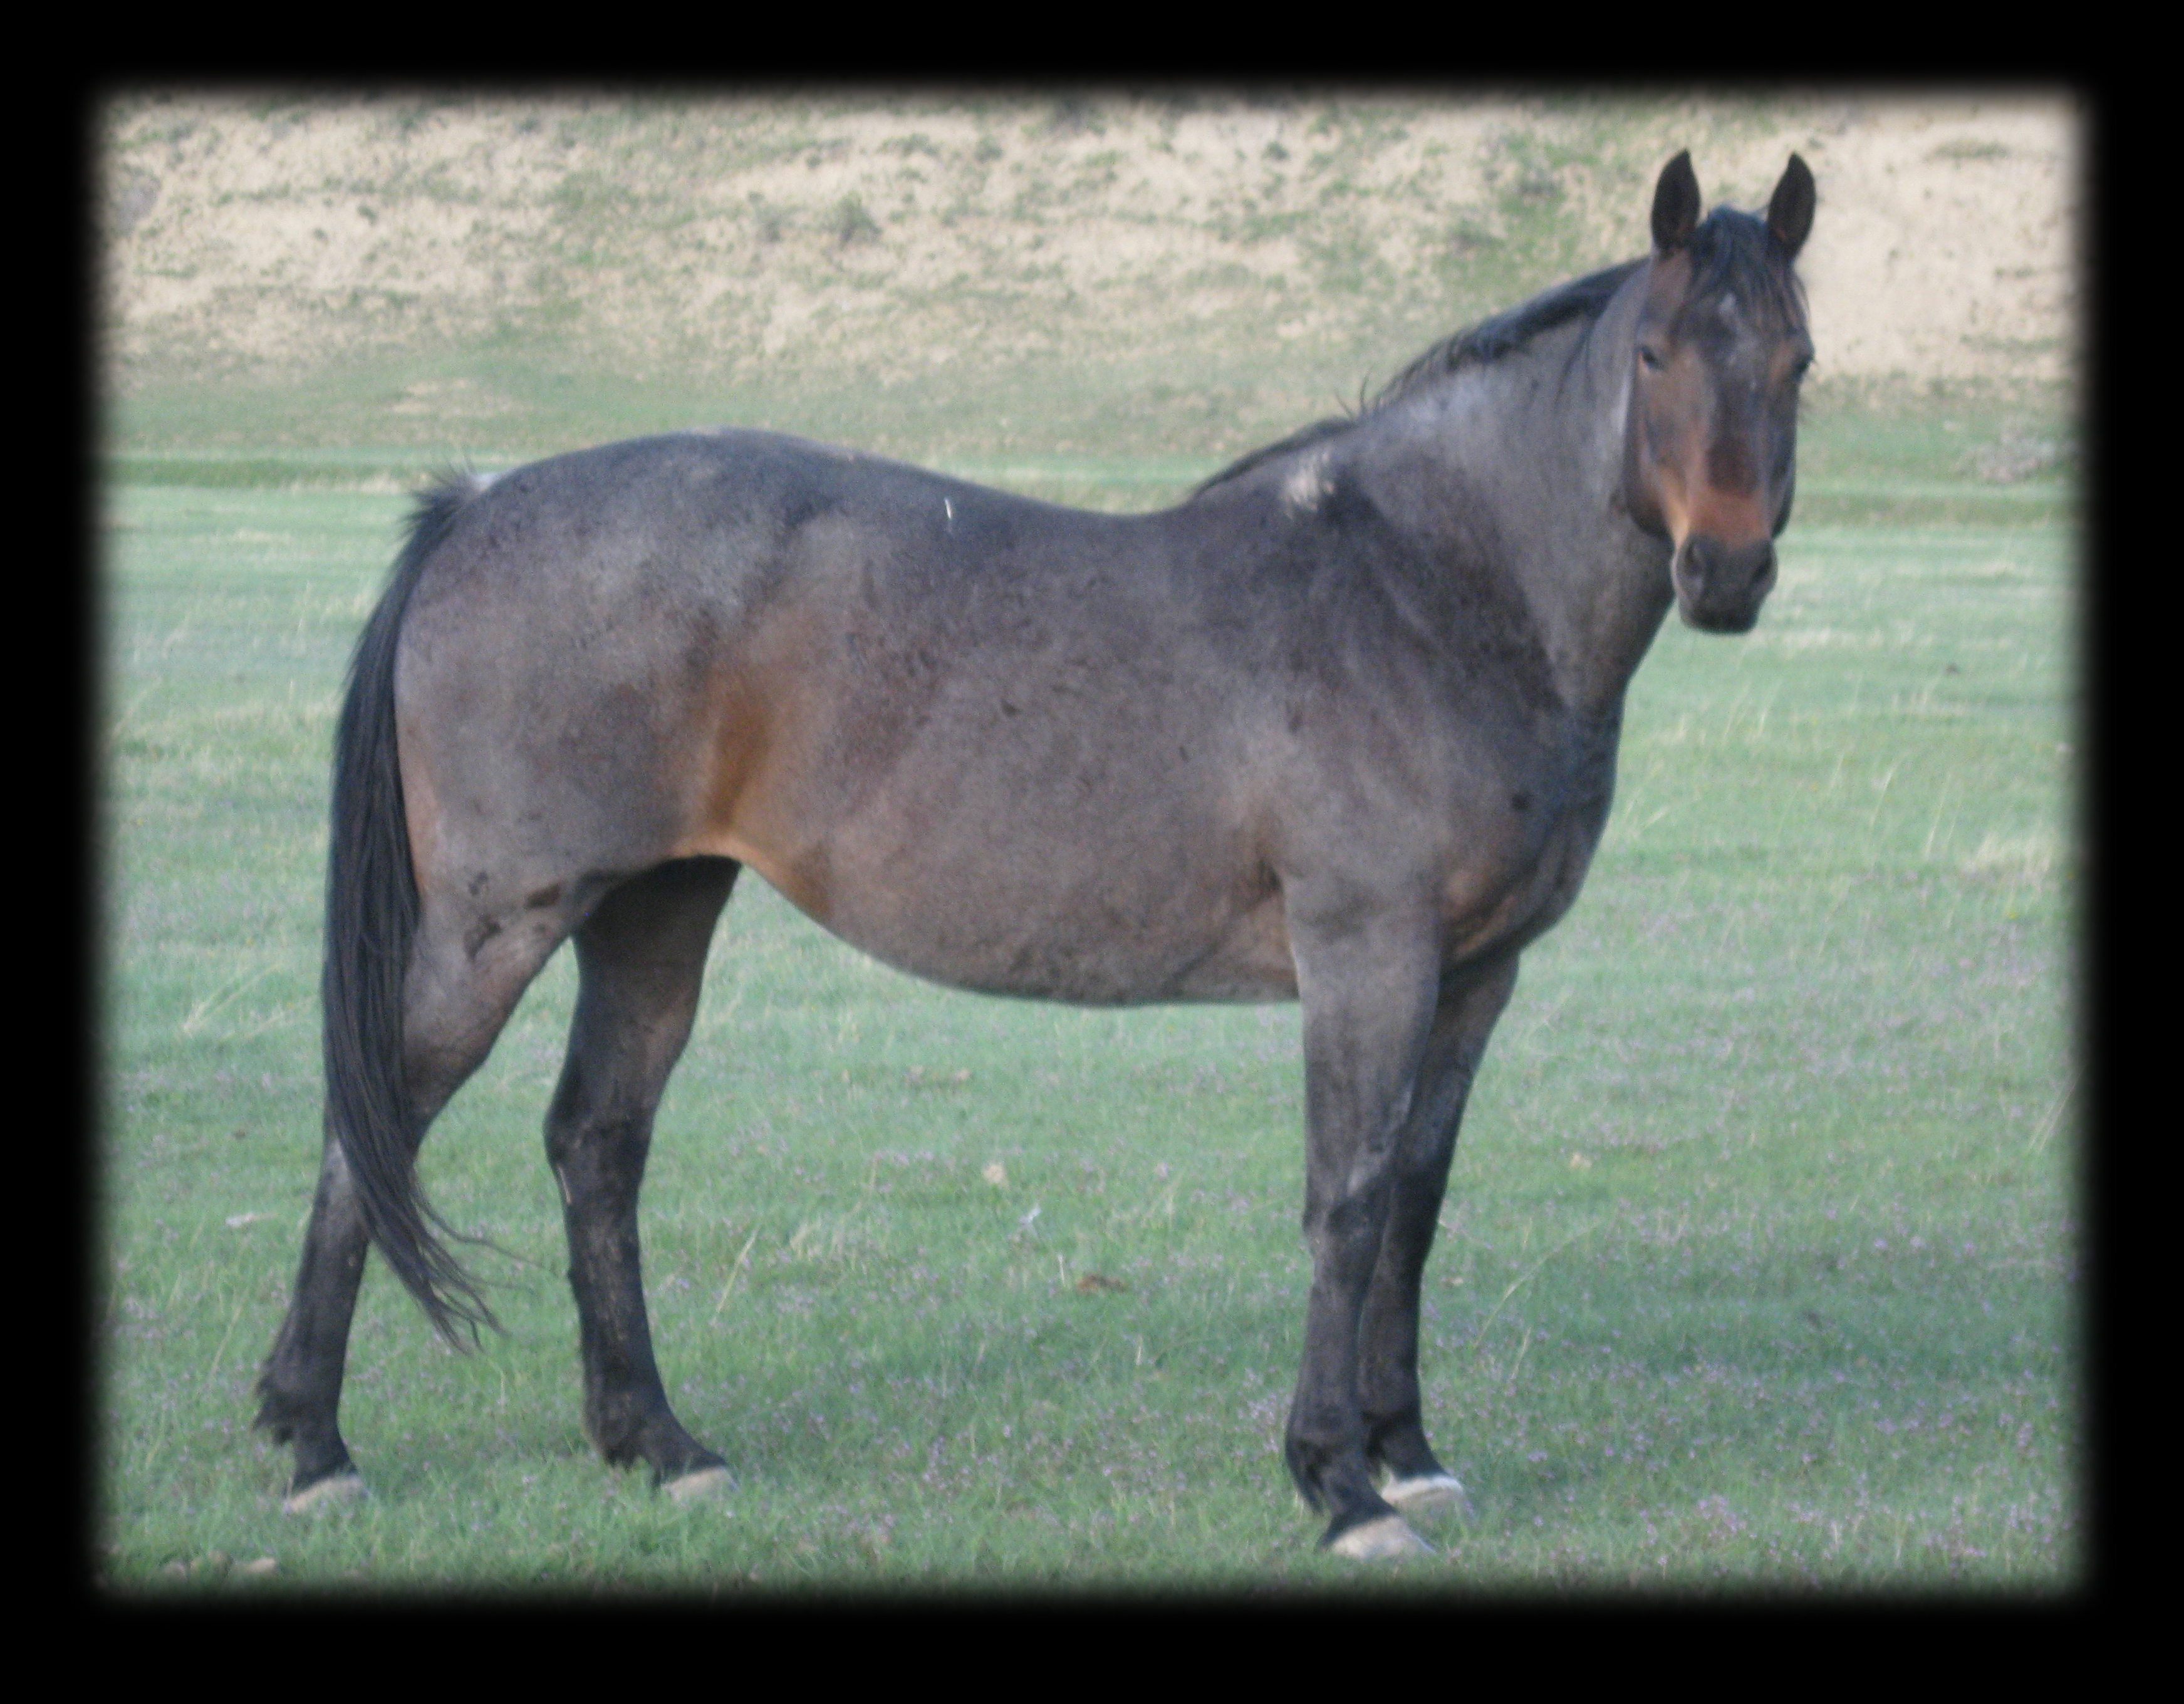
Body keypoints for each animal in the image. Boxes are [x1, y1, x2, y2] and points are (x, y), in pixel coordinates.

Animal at [255, 153, 1817, 1564]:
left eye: (1800, 359)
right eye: (1659, 352)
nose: (1728, 573)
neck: (1423, 587)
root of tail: (476, 505)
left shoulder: (1478, 976)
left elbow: (1417, 1204)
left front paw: (1409, 1453)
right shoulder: (1367, 958)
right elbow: (1351, 1197)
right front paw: (1340, 1484)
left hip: (654, 909)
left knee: (597, 1142)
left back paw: (660, 1445)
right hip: (495, 926)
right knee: (370, 1129)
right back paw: (315, 1447)